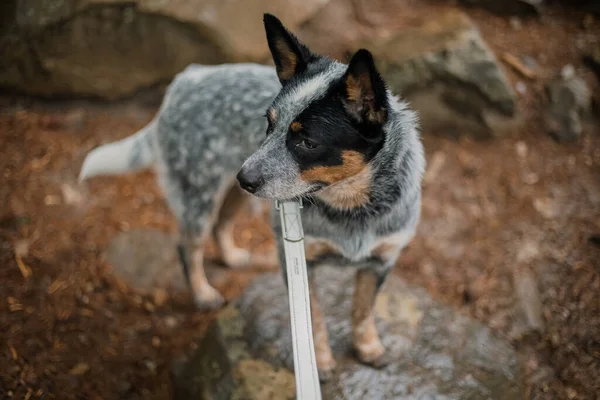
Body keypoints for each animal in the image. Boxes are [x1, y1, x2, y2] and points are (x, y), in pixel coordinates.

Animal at [79, 13, 424, 382]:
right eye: (269, 124)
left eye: (308, 142)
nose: (244, 176)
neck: (352, 208)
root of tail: (184, 79)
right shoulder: (297, 262)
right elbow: (312, 320)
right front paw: (320, 361)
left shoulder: (381, 261)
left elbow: (363, 310)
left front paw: (369, 347)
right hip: (202, 194)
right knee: (189, 247)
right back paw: (203, 293)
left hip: (239, 196)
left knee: (222, 225)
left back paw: (232, 257)